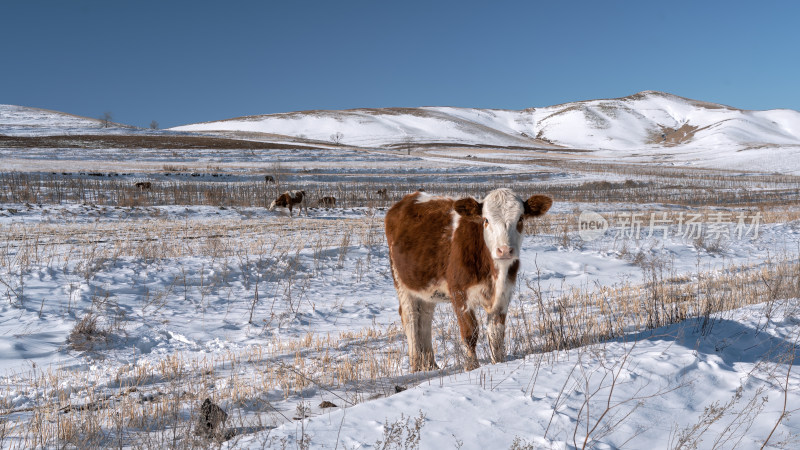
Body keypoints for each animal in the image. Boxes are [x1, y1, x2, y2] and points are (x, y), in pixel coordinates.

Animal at [384, 188, 552, 370]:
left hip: (426, 287)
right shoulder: (459, 293)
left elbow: (496, 333)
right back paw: (416, 365)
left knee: (425, 318)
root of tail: (411, 197)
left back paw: (430, 365)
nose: (505, 250)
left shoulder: (504, 294)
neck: (494, 273)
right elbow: (470, 332)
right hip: (401, 282)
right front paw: (472, 367)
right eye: (486, 220)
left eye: (520, 218)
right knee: (411, 318)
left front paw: (499, 363)